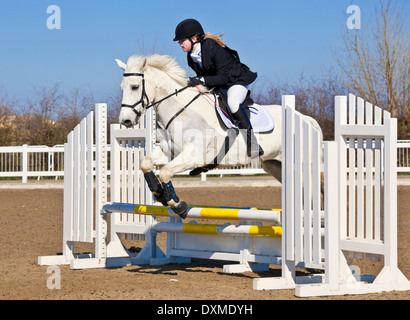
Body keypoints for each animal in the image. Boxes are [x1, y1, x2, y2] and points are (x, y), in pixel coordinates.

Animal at [116, 54, 324, 218]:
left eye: (135, 87)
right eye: (122, 87)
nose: (125, 121)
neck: (182, 112)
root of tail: (306, 119)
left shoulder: (195, 156)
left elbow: (166, 172)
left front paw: (178, 205)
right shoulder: (170, 153)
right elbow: (145, 163)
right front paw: (159, 193)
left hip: (301, 165)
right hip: (275, 164)